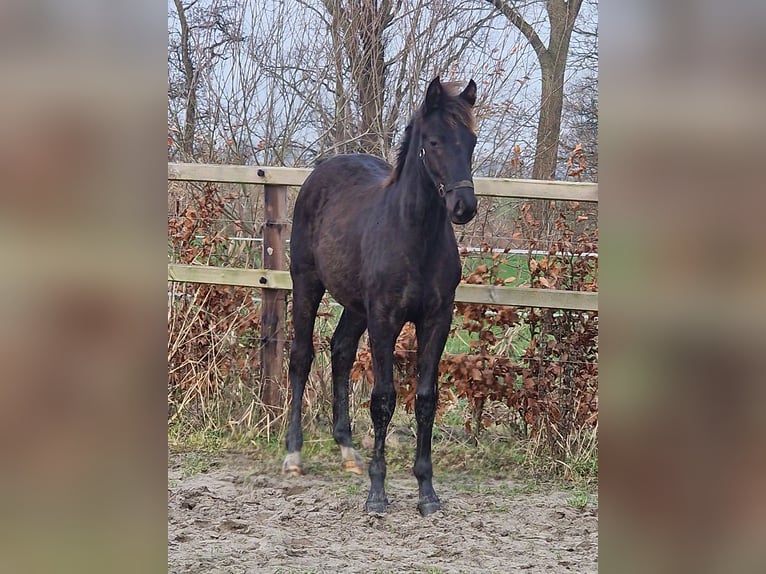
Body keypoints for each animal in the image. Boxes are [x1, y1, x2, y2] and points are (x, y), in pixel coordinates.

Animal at [283, 76, 478, 515]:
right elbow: (383, 399)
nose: (464, 206)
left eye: (472, 141)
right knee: (301, 357)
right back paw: (293, 455)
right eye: (435, 141)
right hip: (307, 283)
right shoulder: (385, 319)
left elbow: (425, 399)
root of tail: (322, 170)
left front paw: (427, 492)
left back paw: (347, 450)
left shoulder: (435, 320)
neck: (414, 235)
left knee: (340, 350)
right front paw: (377, 493)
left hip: (357, 306)